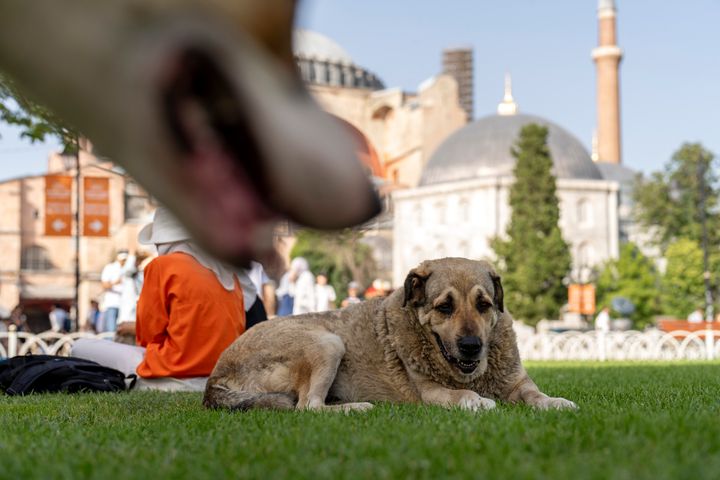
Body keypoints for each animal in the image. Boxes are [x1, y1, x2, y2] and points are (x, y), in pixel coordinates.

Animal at [204, 258, 580, 412]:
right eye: (445, 307)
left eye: (484, 304)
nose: (472, 347)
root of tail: (214, 378)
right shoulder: (430, 392)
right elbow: (462, 396)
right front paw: (476, 401)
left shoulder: (517, 383)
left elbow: (534, 394)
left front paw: (553, 402)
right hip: (327, 342)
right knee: (307, 406)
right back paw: (355, 408)